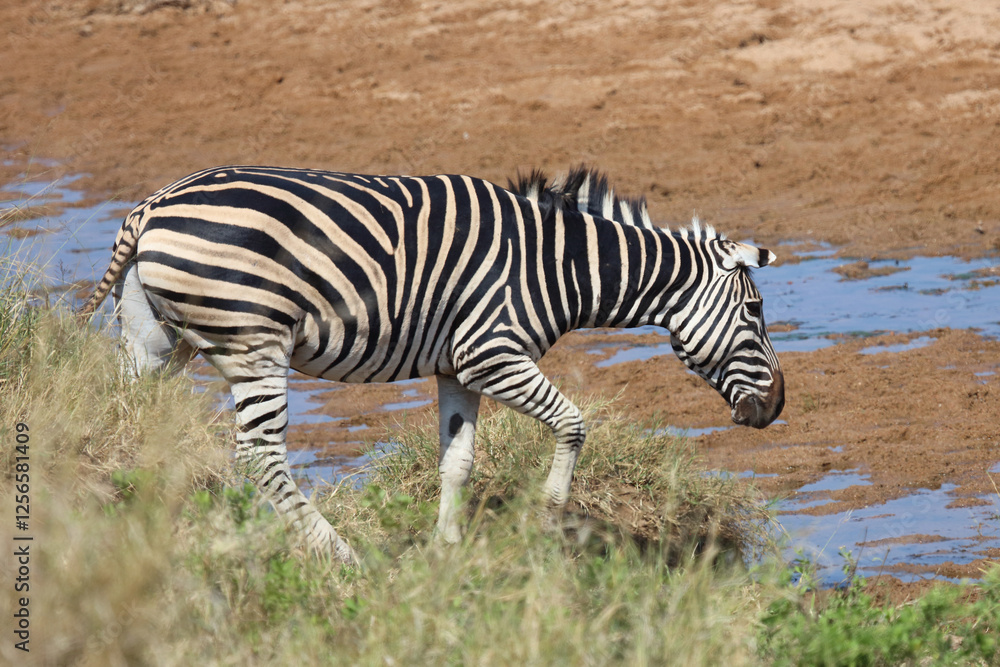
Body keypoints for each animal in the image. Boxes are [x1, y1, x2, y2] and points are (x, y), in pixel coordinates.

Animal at [78, 164, 784, 564]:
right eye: (754, 312)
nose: (775, 409)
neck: (559, 265)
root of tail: (150, 207)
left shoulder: (457, 368)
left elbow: (458, 460)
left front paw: (446, 552)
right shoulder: (492, 352)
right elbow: (573, 424)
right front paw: (549, 519)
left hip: (157, 341)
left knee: (132, 426)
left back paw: (133, 532)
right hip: (254, 341)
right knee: (260, 455)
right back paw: (340, 554)